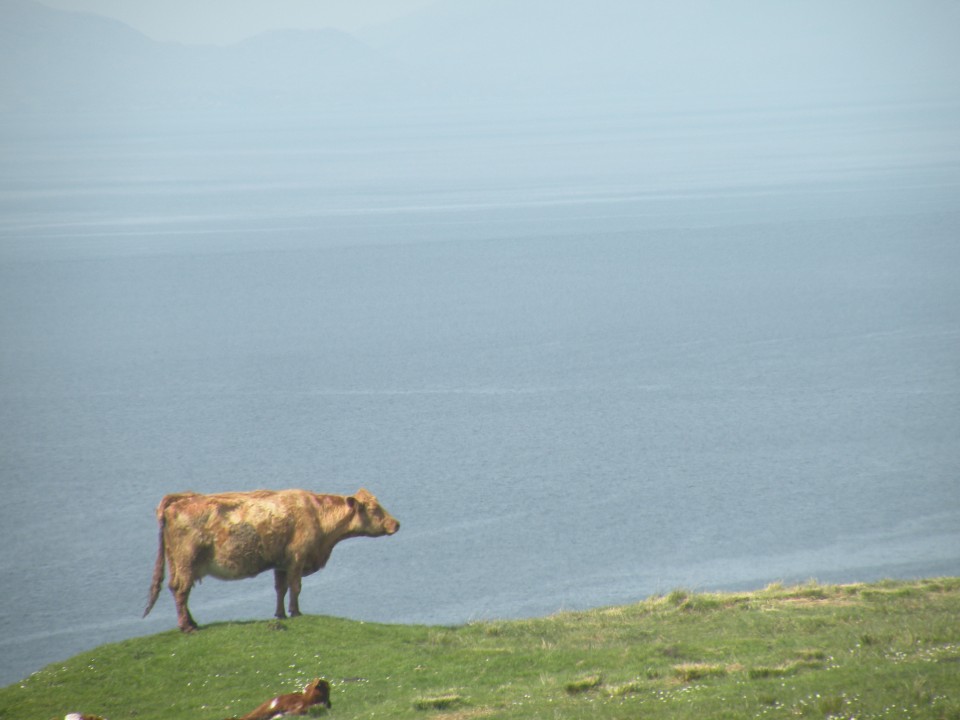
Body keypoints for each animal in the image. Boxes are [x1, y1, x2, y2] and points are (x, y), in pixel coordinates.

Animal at [142, 486, 398, 632]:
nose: (396, 523)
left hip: (177, 563)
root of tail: (177, 501)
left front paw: (280, 614)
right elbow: (295, 587)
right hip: (186, 561)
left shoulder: (281, 563)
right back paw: (187, 627)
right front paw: (296, 612)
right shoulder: (297, 558)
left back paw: (193, 622)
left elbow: (280, 589)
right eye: (374, 509)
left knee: (178, 590)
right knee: (181, 590)